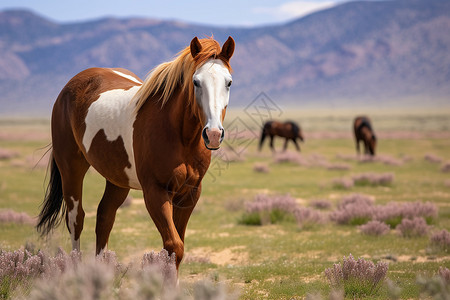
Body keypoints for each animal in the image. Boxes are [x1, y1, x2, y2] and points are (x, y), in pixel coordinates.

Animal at [36, 35, 236, 270]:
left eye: (229, 82)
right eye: (196, 82)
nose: (213, 134)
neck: (179, 135)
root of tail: (69, 88)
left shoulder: (189, 193)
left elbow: (177, 246)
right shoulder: (155, 192)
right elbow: (173, 246)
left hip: (117, 180)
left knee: (104, 217)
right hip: (71, 169)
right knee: (76, 219)